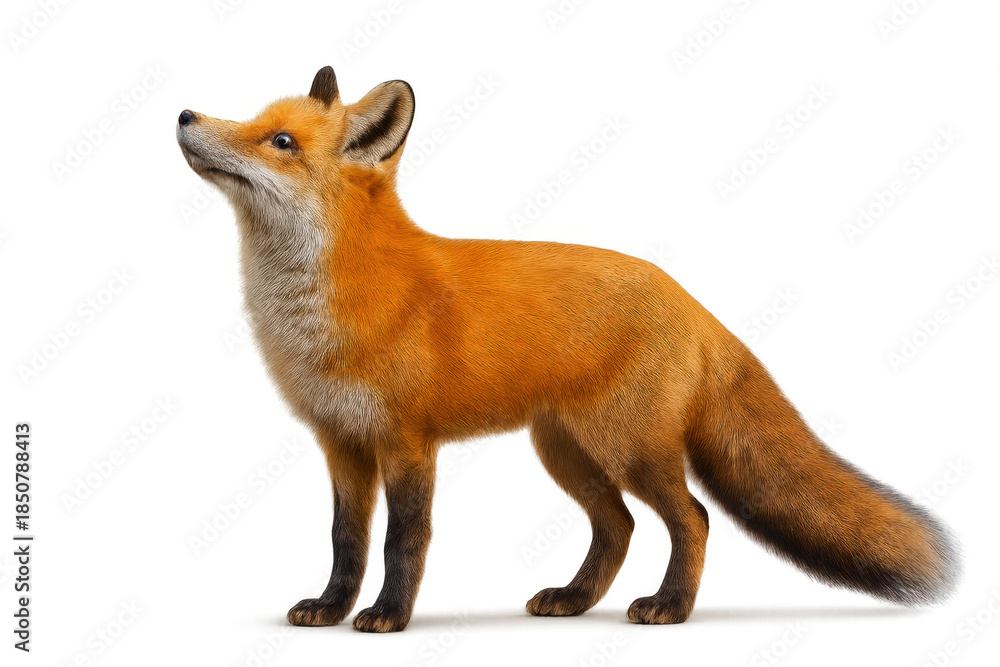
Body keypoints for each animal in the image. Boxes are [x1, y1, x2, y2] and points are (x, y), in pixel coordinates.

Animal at [176, 66, 959, 632]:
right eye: (251, 120)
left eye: (280, 141)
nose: (185, 115)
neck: (324, 309)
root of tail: (691, 300)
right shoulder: (341, 441)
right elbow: (346, 541)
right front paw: (332, 609)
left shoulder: (407, 442)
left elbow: (404, 540)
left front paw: (388, 617)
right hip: (567, 450)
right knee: (619, 526)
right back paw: (576, 599)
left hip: (628, 446)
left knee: (692, 518)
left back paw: (670, 607)